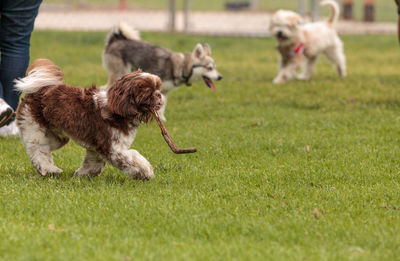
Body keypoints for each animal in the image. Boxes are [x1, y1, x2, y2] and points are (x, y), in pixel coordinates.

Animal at [14, 58, 164, 179]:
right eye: (148, 92)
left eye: (158, 88)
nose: (159, 94)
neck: (117, 110)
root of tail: (36, 91)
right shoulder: (113, 148)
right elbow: (133, 159)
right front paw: (146, 172)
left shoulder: (97, 147)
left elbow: (94, 164)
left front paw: (82, 175)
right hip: (33, 126)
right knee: (37, 150)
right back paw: (50, 170)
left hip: (57, 137)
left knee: (45, 148)